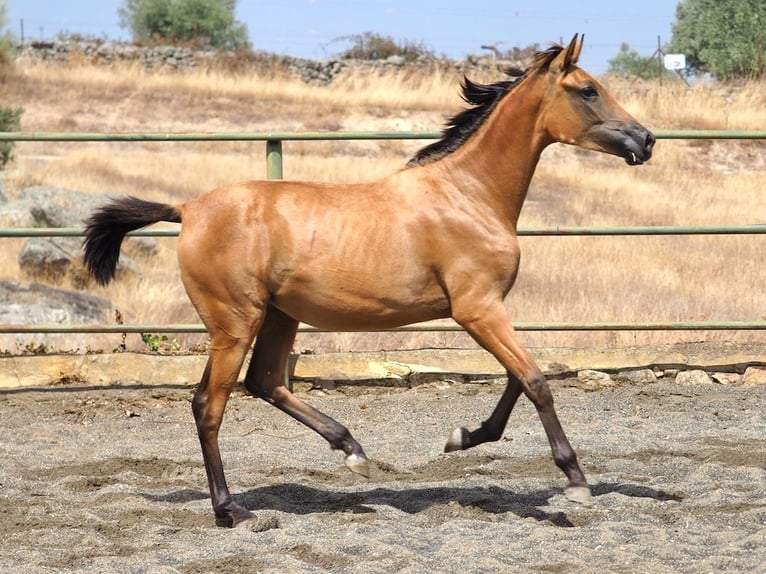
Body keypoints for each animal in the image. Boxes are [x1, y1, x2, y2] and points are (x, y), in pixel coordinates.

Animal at [85, 36, 660, 528]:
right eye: (587, 90)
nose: (646, 139)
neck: (468, 194)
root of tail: (188, 208)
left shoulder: (488, 309)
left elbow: (519, 378)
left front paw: (463, 438)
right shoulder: (477, 309)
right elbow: (536, 380)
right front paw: (576, 482)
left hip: (278, 316)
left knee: (265, 382)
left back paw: (353, 453)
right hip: (235, 322)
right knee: (211, 404)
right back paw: (232, 511)